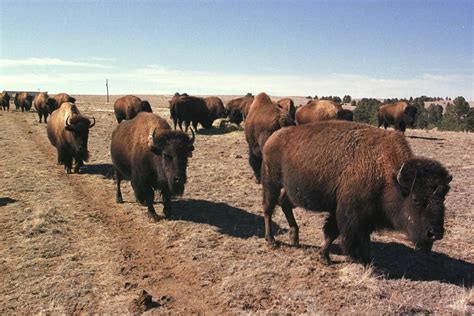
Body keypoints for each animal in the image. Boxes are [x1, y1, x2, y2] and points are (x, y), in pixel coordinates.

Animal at [262, 121, 452, 264]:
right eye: (416, 199)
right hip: (271, 182)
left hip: (290, 189)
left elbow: (355, 236)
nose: (435, 233)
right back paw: (271, 241)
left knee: (284, 204)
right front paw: (327, 257)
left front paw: (366, 258)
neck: (388, 175)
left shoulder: (362, 216)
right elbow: (334, 233)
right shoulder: (349, 213)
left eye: (442, 198)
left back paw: (294, 238)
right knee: (268, 208)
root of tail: (274, 137)